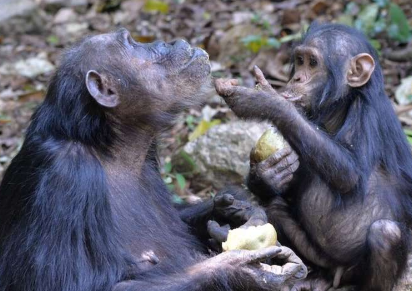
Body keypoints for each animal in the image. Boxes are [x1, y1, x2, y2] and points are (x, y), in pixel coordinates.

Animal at [0, 28, 306, 291]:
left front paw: (238, 207)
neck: (112, 149)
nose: (165, 42)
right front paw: (241, 269)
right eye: (133, 43)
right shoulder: (64, 174)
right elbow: (70, 284)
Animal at [214, 23, 412, 291]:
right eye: (299, 61)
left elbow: (349, 173)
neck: (338, 108)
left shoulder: (368, 113)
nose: (297, 78)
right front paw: (268, 175)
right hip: (320, 257)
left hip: (358, 269)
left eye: (313, 63)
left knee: (385, 234)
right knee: (275, 208)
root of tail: (338, 273)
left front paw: (265, 99)